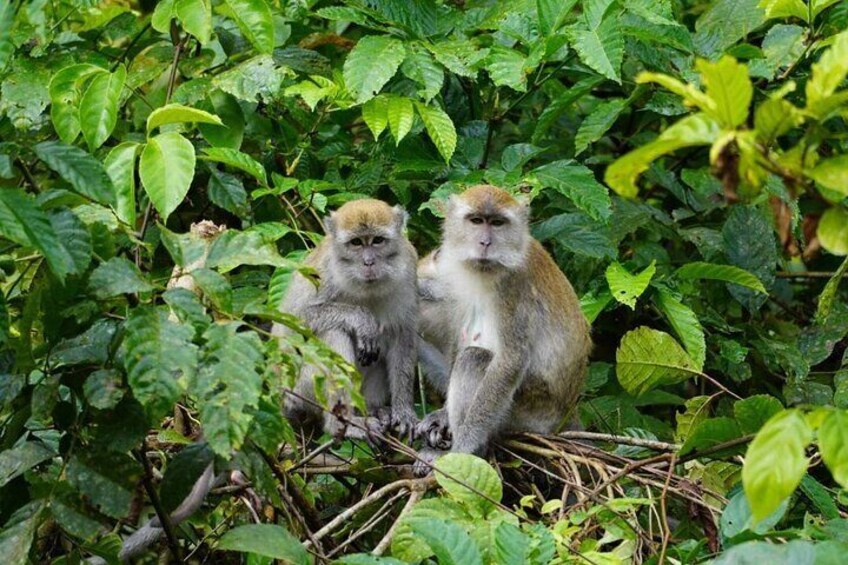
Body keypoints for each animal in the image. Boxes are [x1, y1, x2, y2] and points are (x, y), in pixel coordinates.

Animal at [274, 198, 420, 440]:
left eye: (377, 240)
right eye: (356, 243)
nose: (369, 262)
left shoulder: (408, 268)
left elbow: (403, 336)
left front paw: (403, 412)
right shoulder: (325, 273)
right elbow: (295, 319)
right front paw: (362, 320)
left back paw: (375, 410)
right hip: (301, 390)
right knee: (334, 331)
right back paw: (343, 425)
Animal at [416, 184, 588, 468]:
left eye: (497, 223)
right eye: (476, 221)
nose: (485, 243)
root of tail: (566, 414)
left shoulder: (513, 285)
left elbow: (510, 360)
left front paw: (463, 448)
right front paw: (442, 416)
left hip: (527, 414)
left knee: (474, 359)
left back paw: (473, 450)